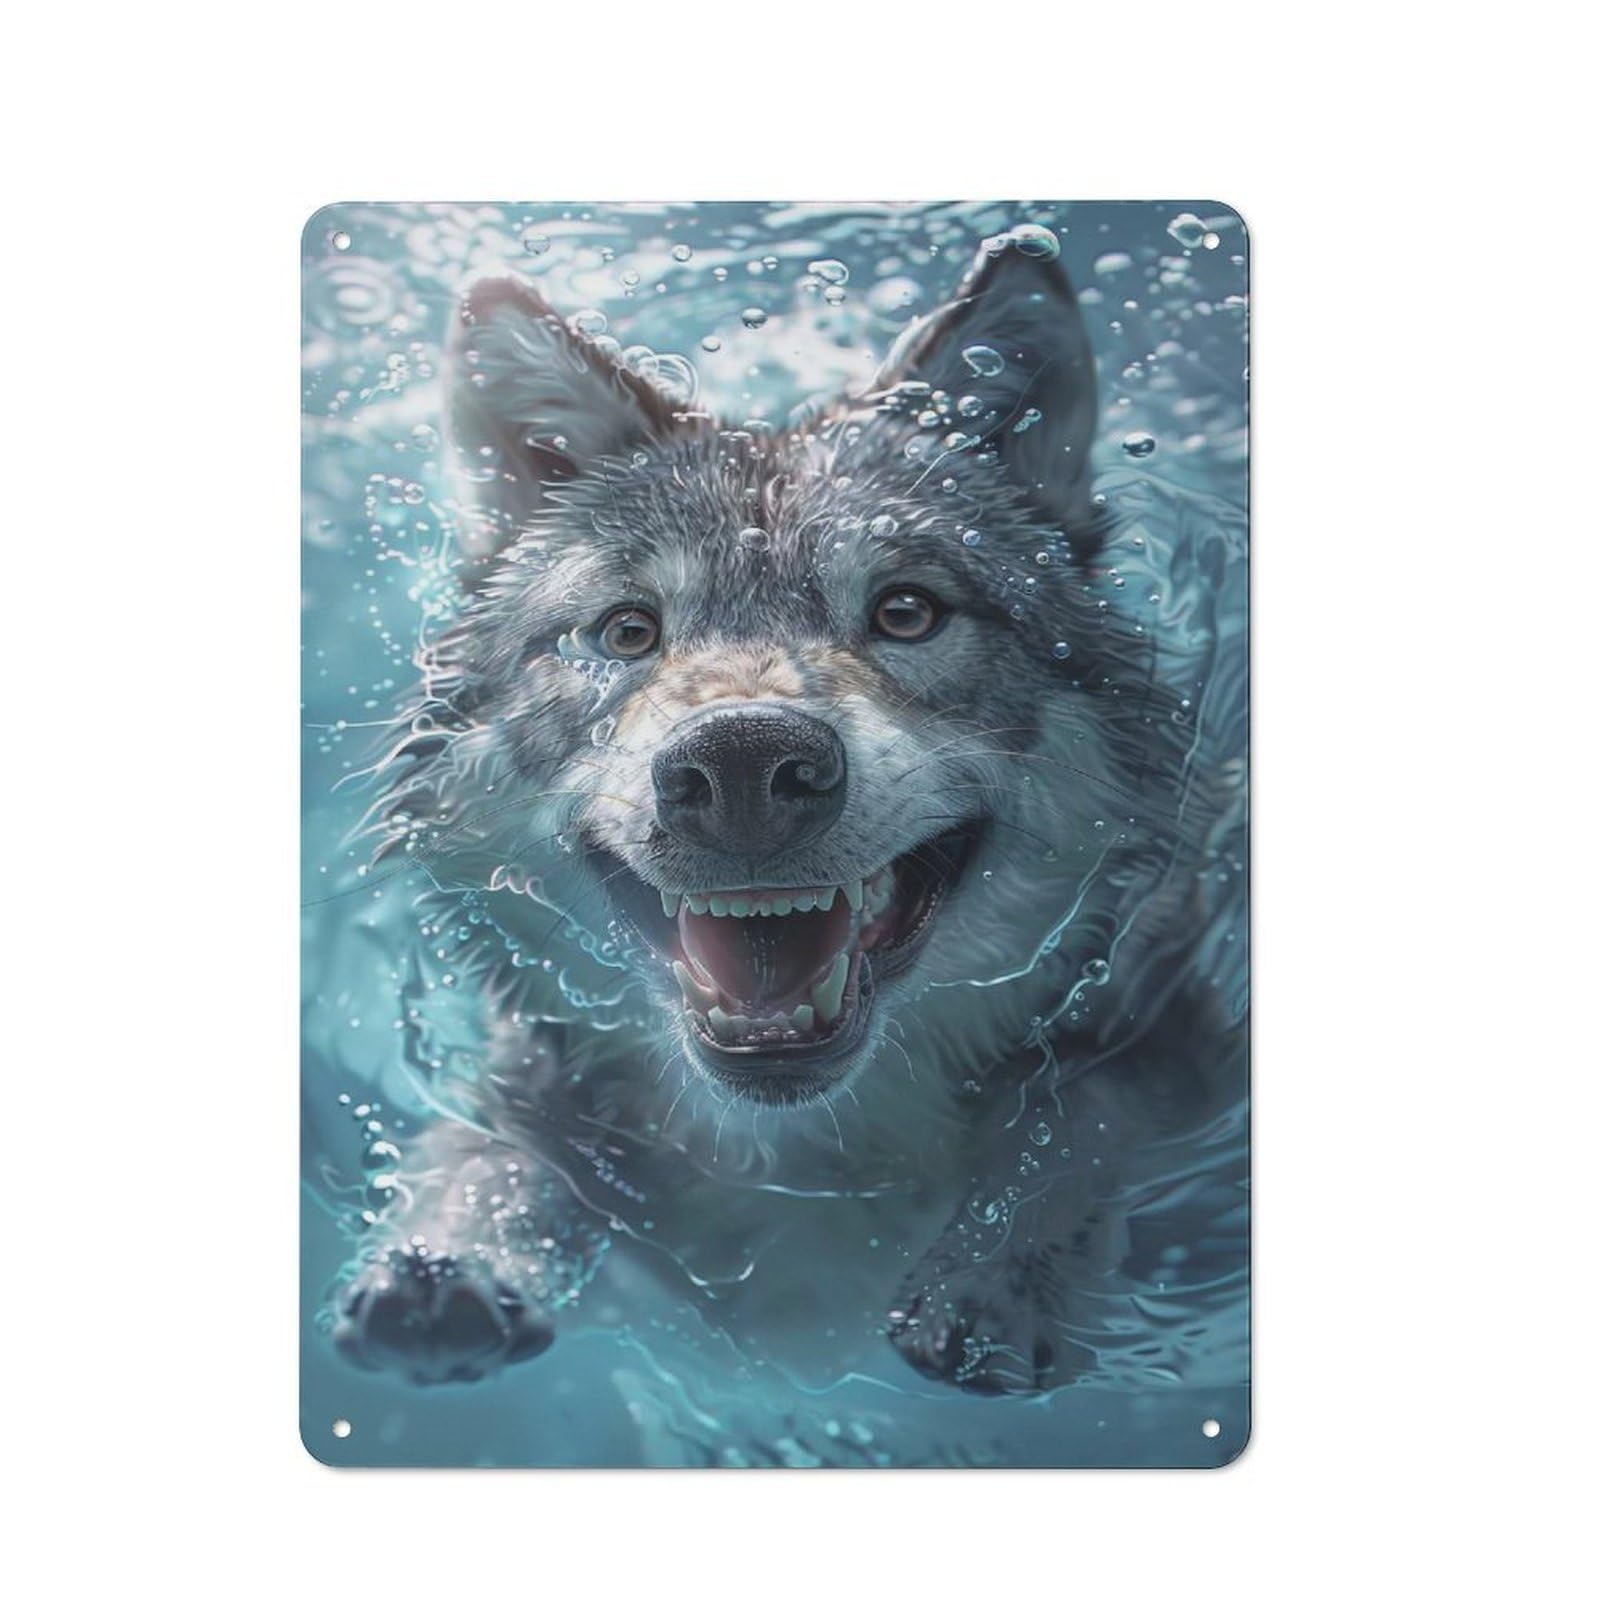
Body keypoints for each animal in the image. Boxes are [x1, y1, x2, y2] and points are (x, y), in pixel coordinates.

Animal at [331, 226, 1249, 1397]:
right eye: (626, 632)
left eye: (906, 612)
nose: (742, 762)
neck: (805, 1165)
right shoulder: (536, 1047)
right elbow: (500, 1123)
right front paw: (450, 1251)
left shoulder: (1177, 1006)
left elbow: (1078, 1111)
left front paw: (995, 1276)